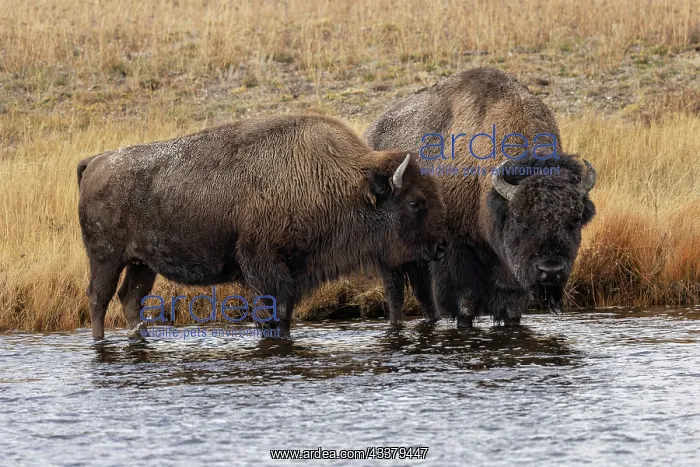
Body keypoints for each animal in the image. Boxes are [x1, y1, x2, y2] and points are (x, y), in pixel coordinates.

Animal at [77, 115, 447, 340]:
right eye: (415, 202)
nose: (441, 246)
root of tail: (96, 162)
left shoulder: (294, 273)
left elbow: (284, 315)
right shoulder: (264, 267)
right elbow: (270, 312)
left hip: (142, 263)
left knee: (130, 297)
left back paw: (139, 336)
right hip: (106, 258)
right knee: (98, 297)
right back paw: (100, 342)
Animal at [364, 67, 596, 326]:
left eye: (575, 220)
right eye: (520, 219)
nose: (551, 270)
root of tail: (371, 134)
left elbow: (512, 304)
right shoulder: (456, 249)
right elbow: (465, 302)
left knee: (423, 295)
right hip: (392, 257)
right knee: (395, 293)